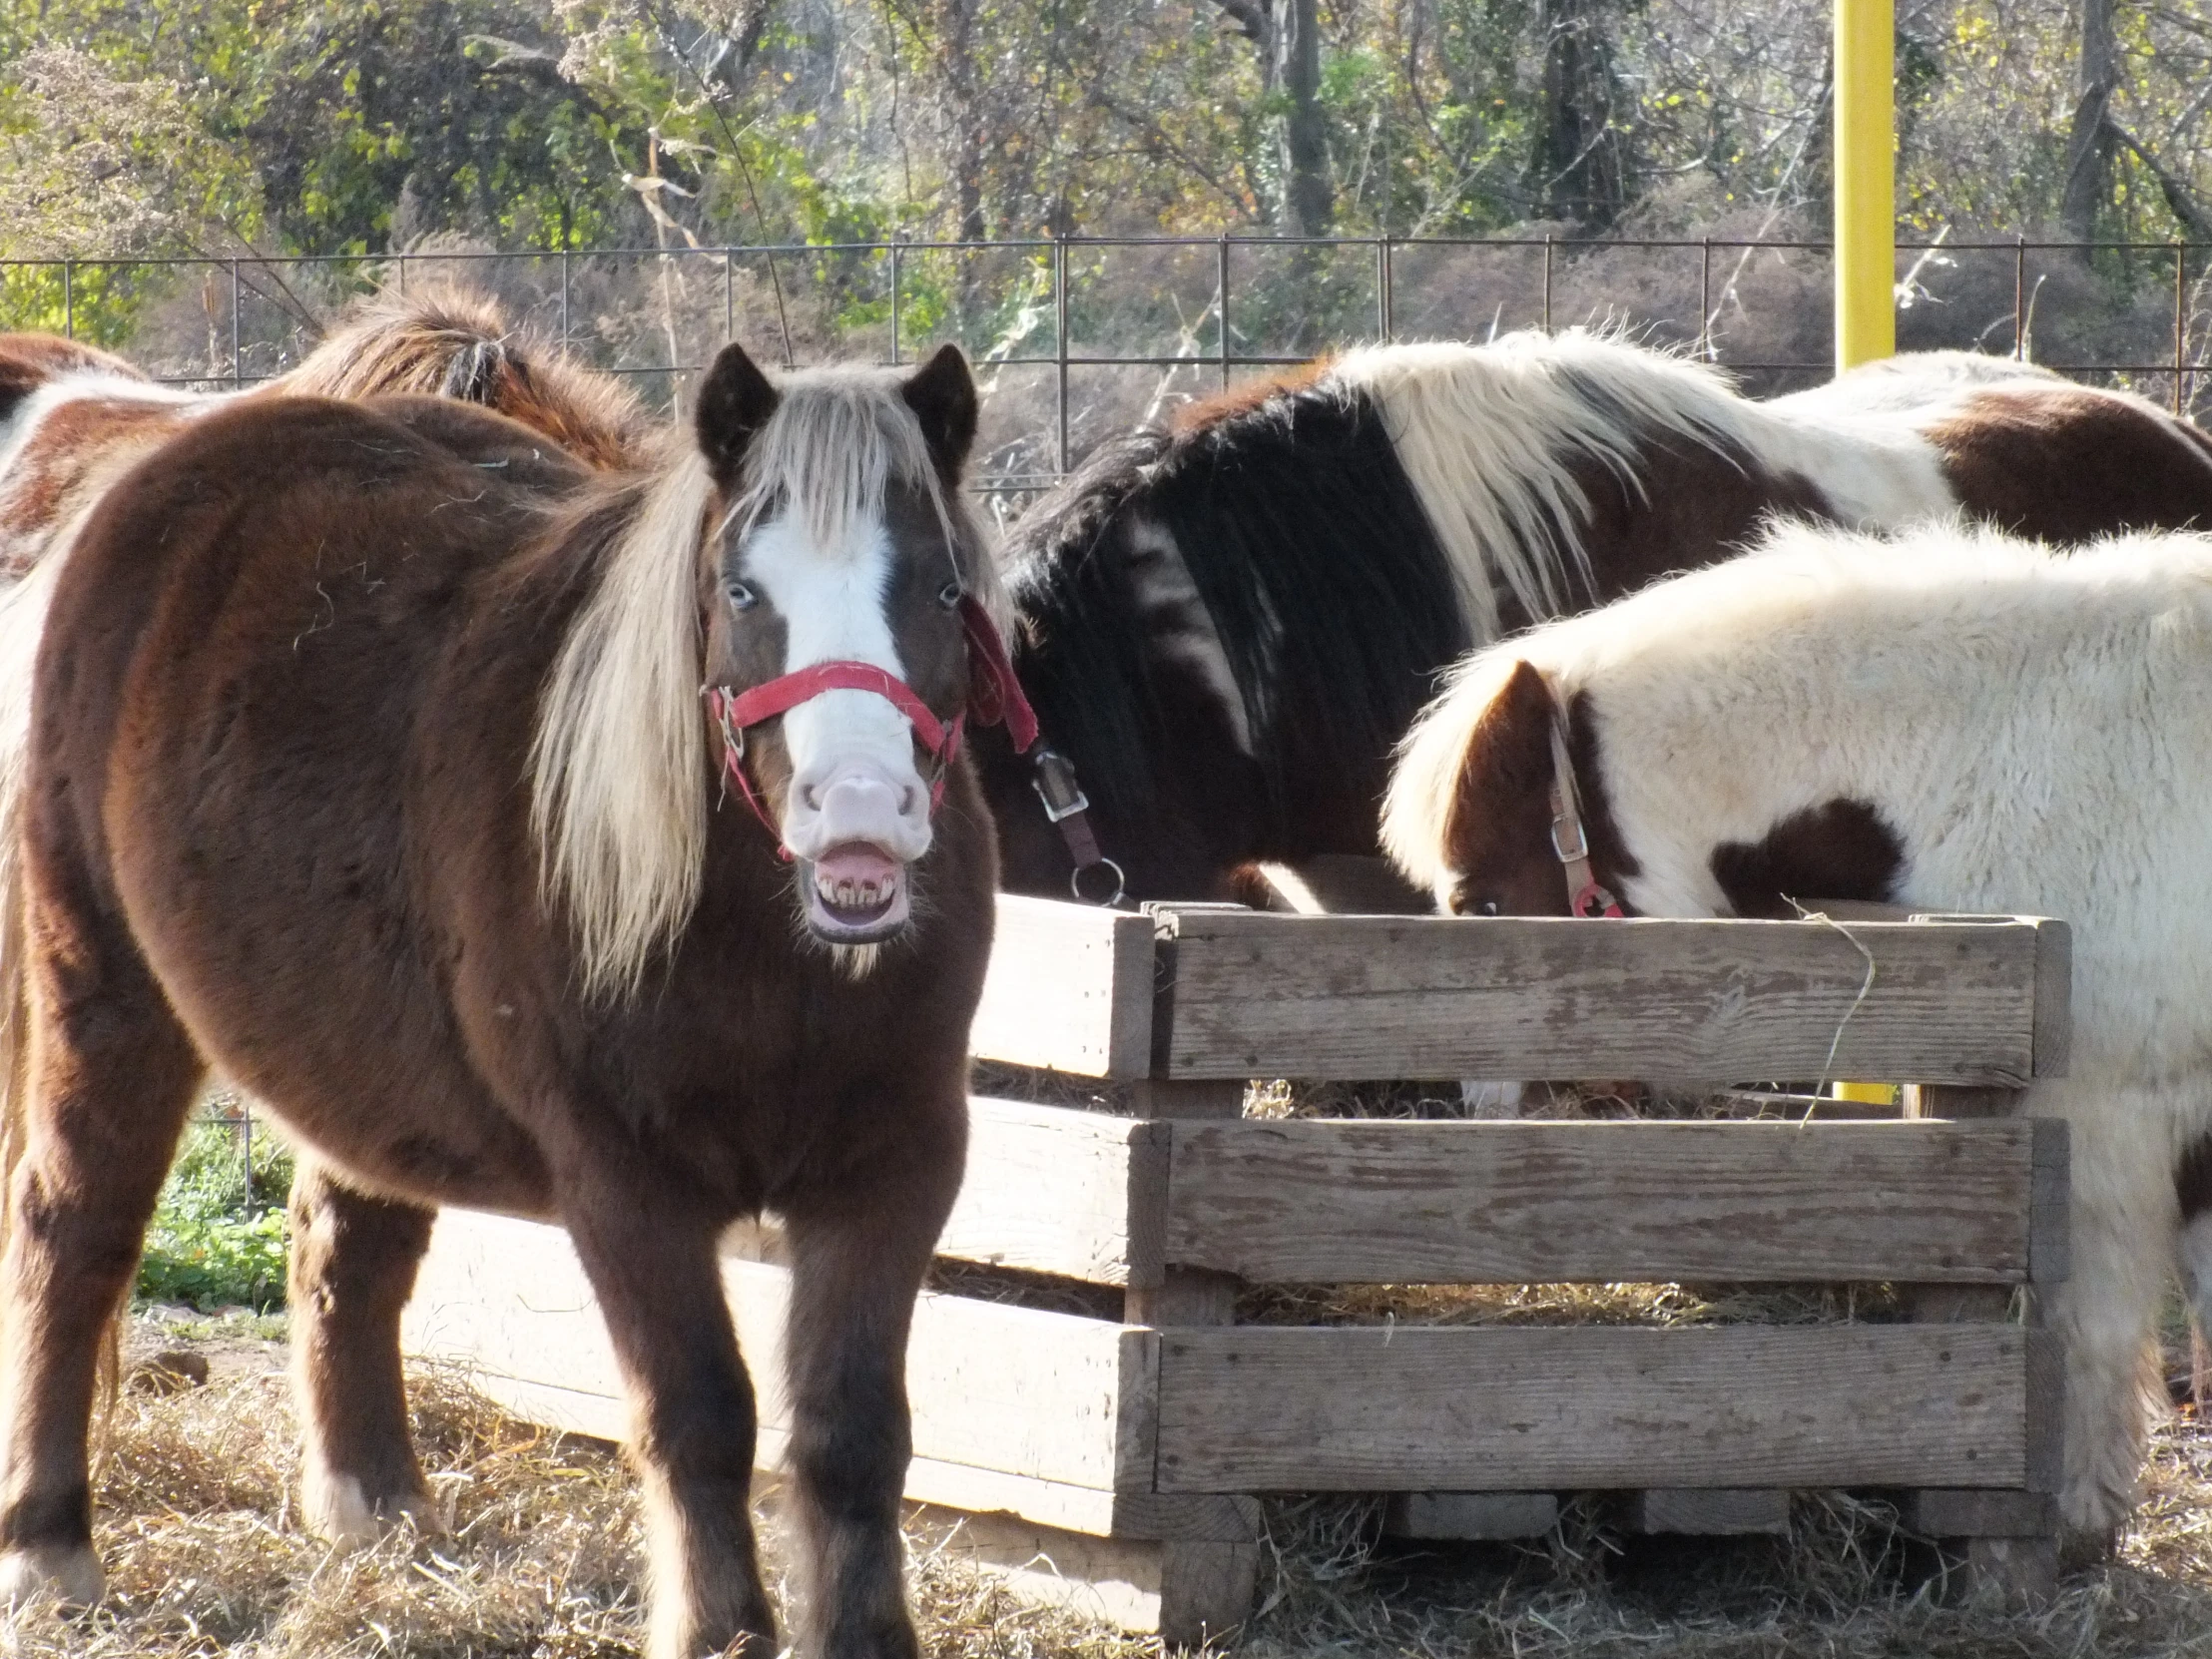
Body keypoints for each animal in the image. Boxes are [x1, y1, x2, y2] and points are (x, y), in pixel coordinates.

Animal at [0, 340, 1012, 1659]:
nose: (857, 815)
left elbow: (851, 1434)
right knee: (73, 1230)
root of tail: (149, 473)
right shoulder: (625, 1182)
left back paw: (373, 1506)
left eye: (942, 592)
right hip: (106, 990)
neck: (769, 952)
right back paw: (48, 1545)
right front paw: (719, 1628)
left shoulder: (891, 1171)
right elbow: (699, 1414)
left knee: (344, 1247)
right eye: (742, 593)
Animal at [1380, 517, 2212, 1548]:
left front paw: (2076, 1512)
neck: (2029, 764)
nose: (1484, 1114)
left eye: (1483, 902)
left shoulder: (2105, 1116)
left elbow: (2088, 1320)